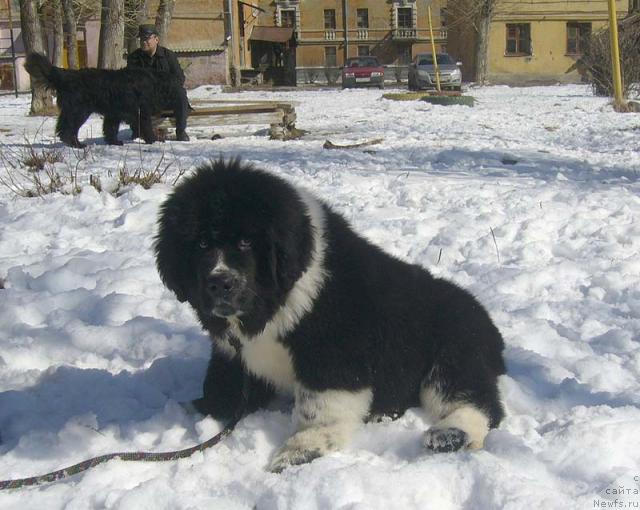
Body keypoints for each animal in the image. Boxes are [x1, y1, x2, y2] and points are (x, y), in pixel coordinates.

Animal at [24, 54, 185, 149]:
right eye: (176, 87)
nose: (183, 94)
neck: (154, 83)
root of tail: (68, 76)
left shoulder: (114, 114)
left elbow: (110, 129)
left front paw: (114, 142)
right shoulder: (141, 112)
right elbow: (145, 126)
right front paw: (153, 140)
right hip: (79, 110)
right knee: (68, 128)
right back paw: (77, 144)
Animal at [155, 160, 504, 474]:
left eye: (245, 242)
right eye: (201, 243)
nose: (219, 282)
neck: (277, 299)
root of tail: (489, 326)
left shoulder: (333, 348)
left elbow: (319, 404)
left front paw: (300, 450)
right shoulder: (234, 352)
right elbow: (222, 386)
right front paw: (200, 408)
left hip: (452, 351)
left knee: (474, 399)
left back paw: (451, 434)